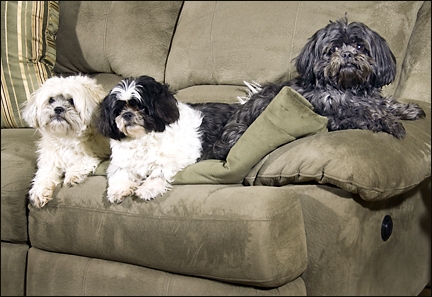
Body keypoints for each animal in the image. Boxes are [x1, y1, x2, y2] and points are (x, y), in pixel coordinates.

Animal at [22, 75, 110, 207]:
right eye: (51, 100)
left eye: (71, 101)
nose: (58, 109)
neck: (66, 137)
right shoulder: (51, 158)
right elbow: (44, 174)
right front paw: (39, 191)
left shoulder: (96, 153)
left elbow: (84, 161)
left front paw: (72, 174)